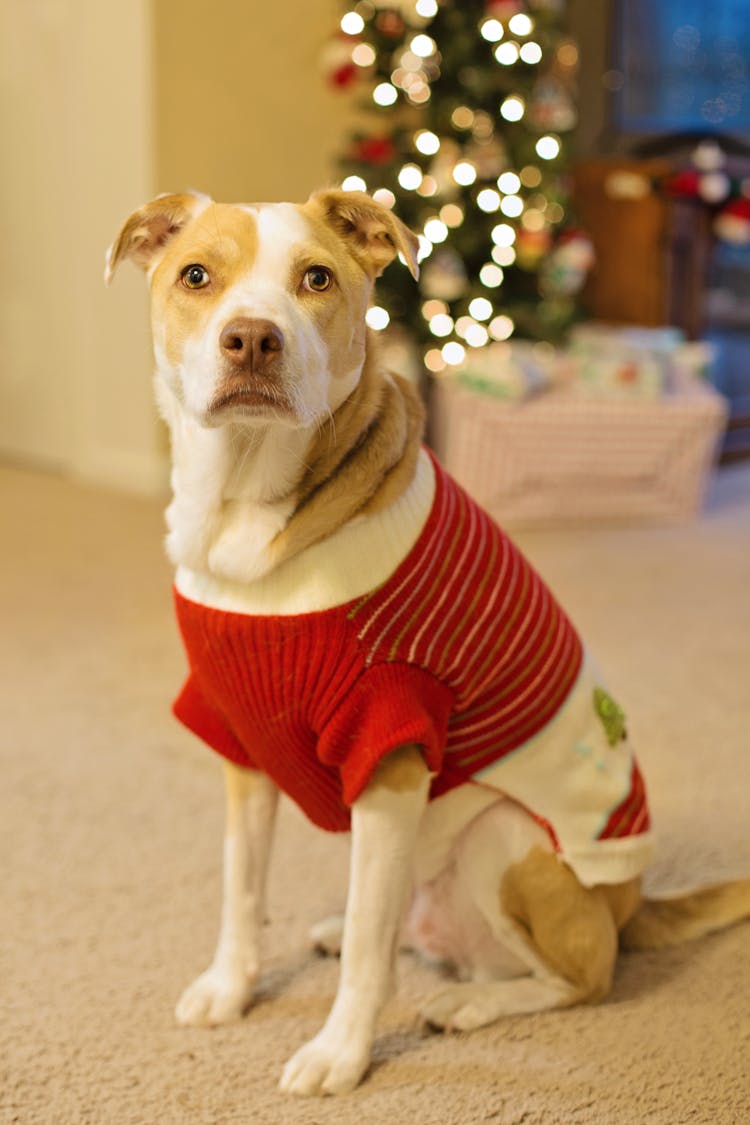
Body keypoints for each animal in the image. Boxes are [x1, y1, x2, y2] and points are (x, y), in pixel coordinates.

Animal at [105, 189, 750, 1093]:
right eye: (196, 275)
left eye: (316, 279)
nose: (253, 339)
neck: (247, 516)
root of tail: (632, 904)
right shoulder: (241, 744)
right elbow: (241, 891)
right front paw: (231, 988)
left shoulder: (392, 756)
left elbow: (368, 959)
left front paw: (340, 1053)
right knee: (400, 919)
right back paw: (349, 931)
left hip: (505, 842)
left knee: (583, 973)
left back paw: (468, 1002)